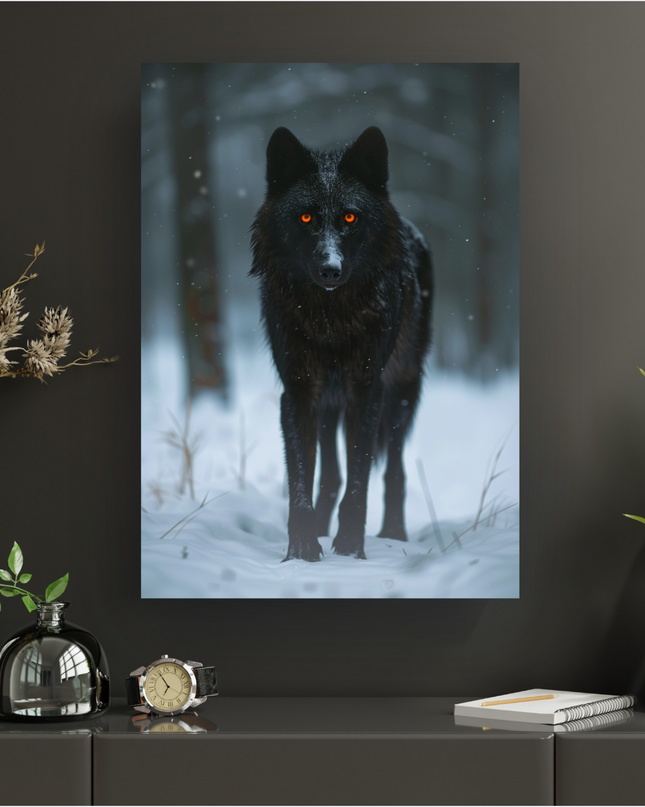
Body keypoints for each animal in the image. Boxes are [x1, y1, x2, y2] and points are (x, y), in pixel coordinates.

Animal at [250, 126, 433, 561]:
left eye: (350, 216)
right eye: (305, 217)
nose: (330, 269)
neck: (329, 319)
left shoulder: (365, 392)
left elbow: (360, 478)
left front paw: (350, 548)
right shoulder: (299, 393)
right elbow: (302, 475)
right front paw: (301, 550)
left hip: (400, 393)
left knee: (395, 471)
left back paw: (393, 534)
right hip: (328, 405)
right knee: (330, 474)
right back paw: (320, 527)